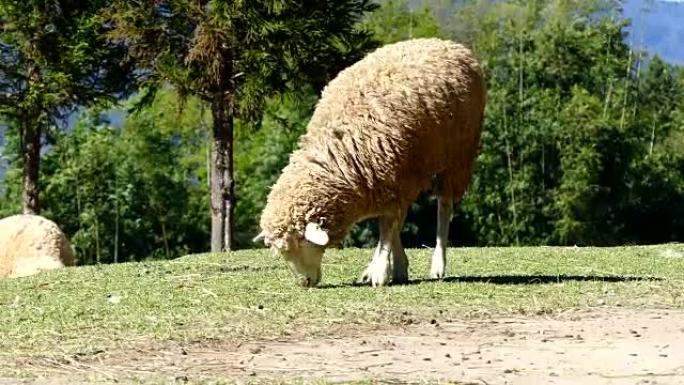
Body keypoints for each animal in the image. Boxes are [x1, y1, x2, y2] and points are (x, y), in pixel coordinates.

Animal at [255, 37, 486, 286]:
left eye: (302, 242)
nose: (304, 283)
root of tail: (446, 43)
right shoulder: (385, 180)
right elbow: (391, 223)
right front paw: (394, 267)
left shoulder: (393, 177)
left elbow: (387, 225)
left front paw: (380, 270)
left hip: (457, 157)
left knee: (444, 206)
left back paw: (438, 264)